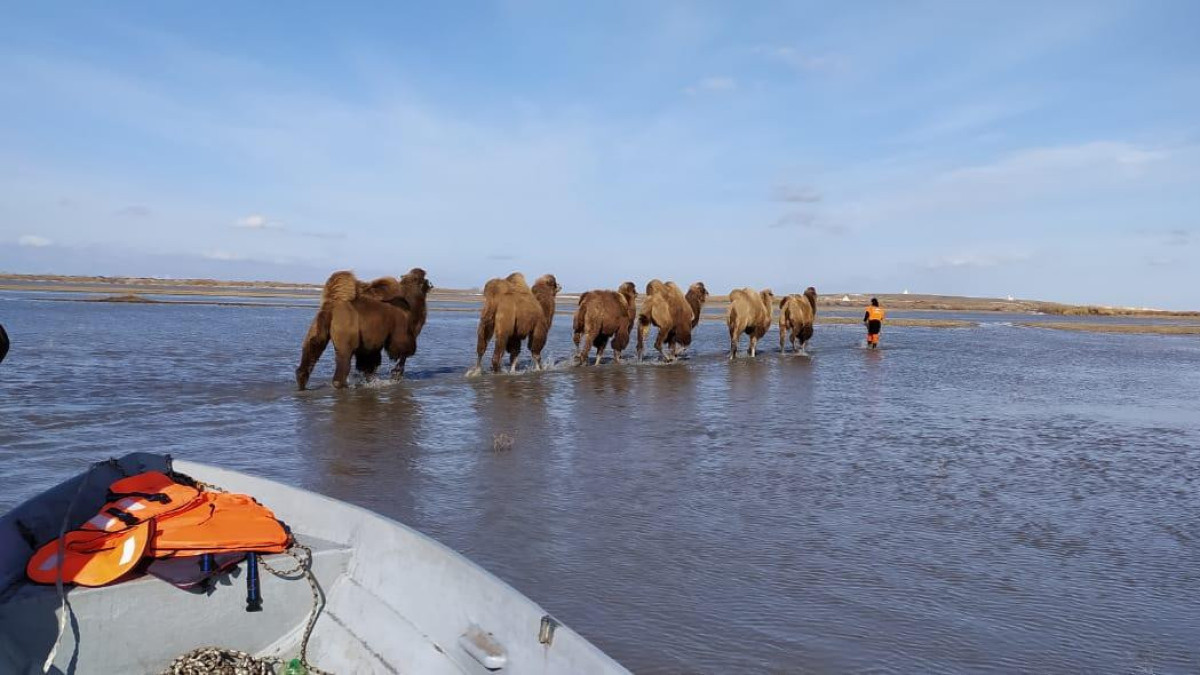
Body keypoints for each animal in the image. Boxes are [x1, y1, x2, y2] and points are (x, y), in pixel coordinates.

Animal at [295, 267, 432, 389]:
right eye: (425, 279)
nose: (431, 284)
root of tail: (332, 307)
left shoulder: (370, 340)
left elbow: (369, 362)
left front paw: (372, 379)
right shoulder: (399, 325)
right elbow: (401, 348)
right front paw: (396, 374)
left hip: (319, 325)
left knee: (311, 348)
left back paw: (302, 383)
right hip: (346, 330)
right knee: (343, 359)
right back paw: (345, 385)